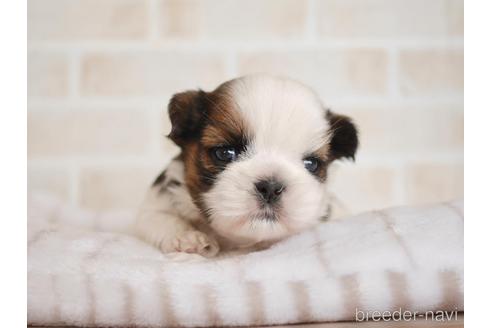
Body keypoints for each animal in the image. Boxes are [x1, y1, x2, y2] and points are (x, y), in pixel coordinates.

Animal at [135, 74, 358, 256]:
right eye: (225, 153)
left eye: (311, 164)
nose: (271, 187)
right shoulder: (156, 202)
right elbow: (157, 218)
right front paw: (188, 237)